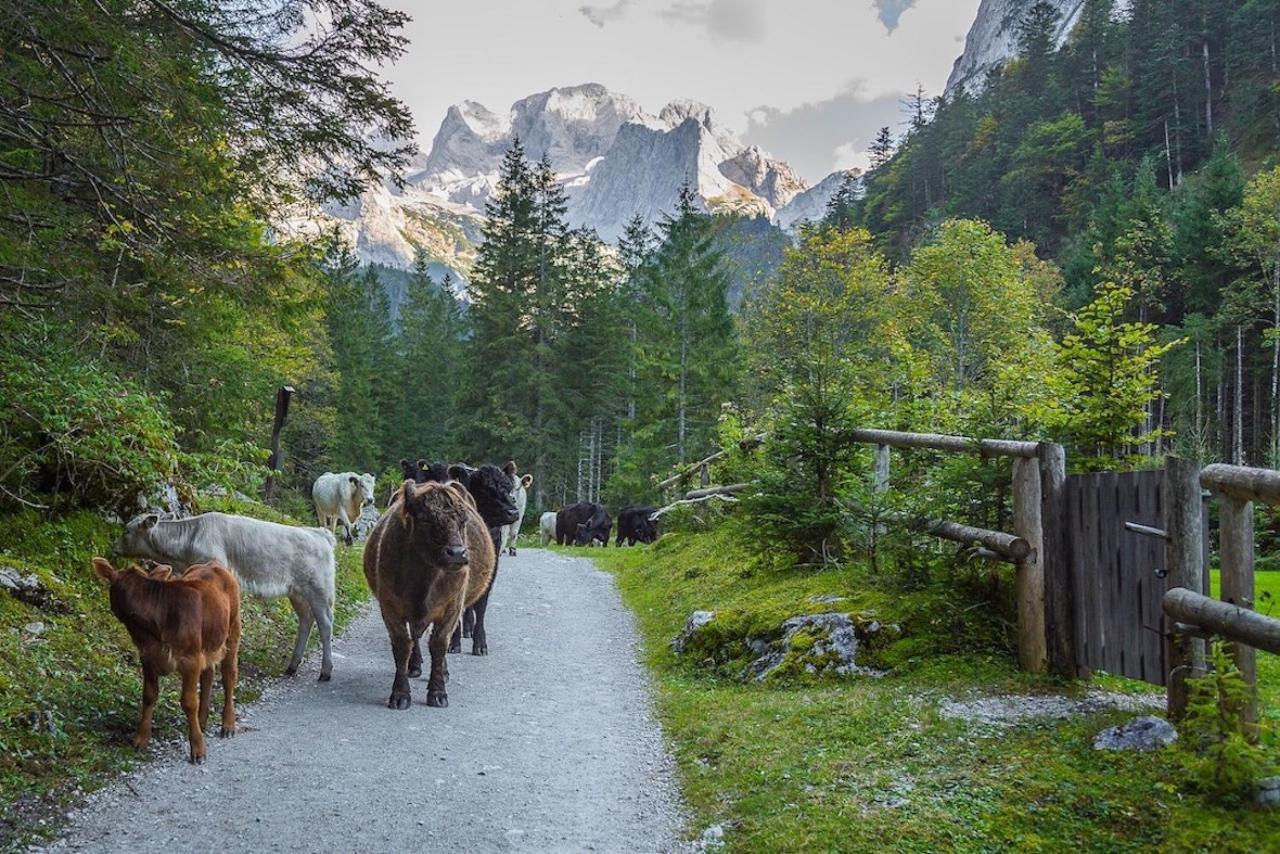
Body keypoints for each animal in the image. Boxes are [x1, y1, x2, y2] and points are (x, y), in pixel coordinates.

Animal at [91, 558, 240, 763]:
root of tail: (213, 563)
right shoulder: (147, 656)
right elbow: (149, 696)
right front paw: (141, 739)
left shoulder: (191, 659)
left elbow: (189, 702)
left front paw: (198, 749)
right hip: (208, 642)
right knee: (208, 675)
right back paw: (202, 721)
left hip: (233, 629)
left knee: (228, 675)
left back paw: (227, 724)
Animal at [114, 514, 337, 681]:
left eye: (126, 530)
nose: (114, 546)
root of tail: (319, 533)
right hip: (297, 592)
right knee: (306, 620)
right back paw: (292, 666)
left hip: (318, 589)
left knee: (325, 624)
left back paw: (325, 671)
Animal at [366, 481, 499, 706]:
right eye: (426, 519)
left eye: (463, 520)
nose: (457, 553)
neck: (424, 581)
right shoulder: (390, 607)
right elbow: (403, 645)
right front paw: (400, 694)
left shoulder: (451, 609)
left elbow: (439, 644)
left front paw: (437, 692)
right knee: (415, 637)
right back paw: (414, 666)